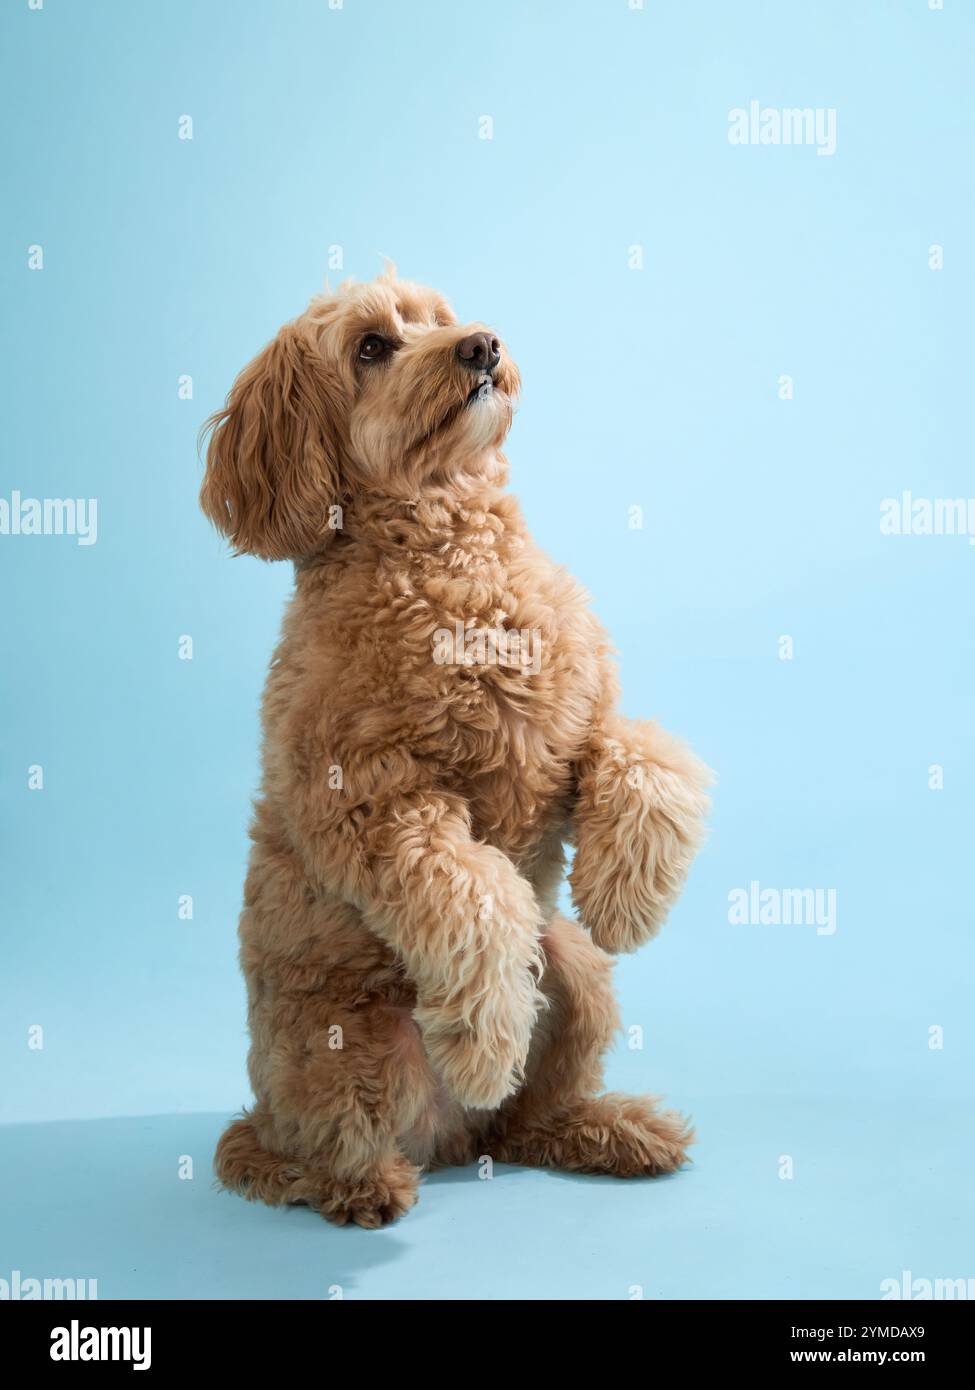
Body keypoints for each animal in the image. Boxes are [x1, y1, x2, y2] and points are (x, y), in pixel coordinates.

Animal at [201, 265, 712, 1223]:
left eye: (435, 319)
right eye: (371, 347)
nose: (481, 345)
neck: (449, 545)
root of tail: (448, 1143)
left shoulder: (577, 727)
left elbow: (647, 759)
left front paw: (626, 895)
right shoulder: (377, 806)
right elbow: (477, 895)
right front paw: (484, 1039)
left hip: (575, 971)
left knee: (525, 1119)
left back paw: (607, 1129)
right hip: (338, 1042)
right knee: (328, 1144)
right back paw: (366, 1182)